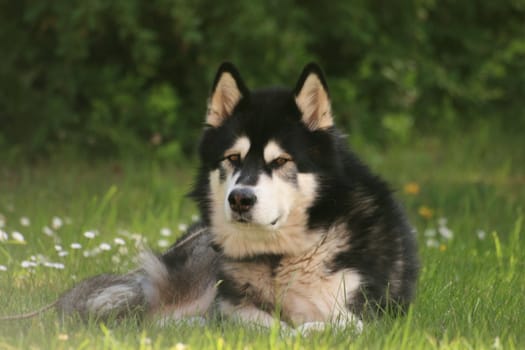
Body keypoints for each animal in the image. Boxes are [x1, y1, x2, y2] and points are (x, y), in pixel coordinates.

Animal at [36, 63, 420, 334]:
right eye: (233, 158)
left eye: (280, 161)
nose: (240, 199)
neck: (281, 256)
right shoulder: (232, 305)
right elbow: (256, 322)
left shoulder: (359, 310)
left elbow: (332, 325)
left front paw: (307, 331)